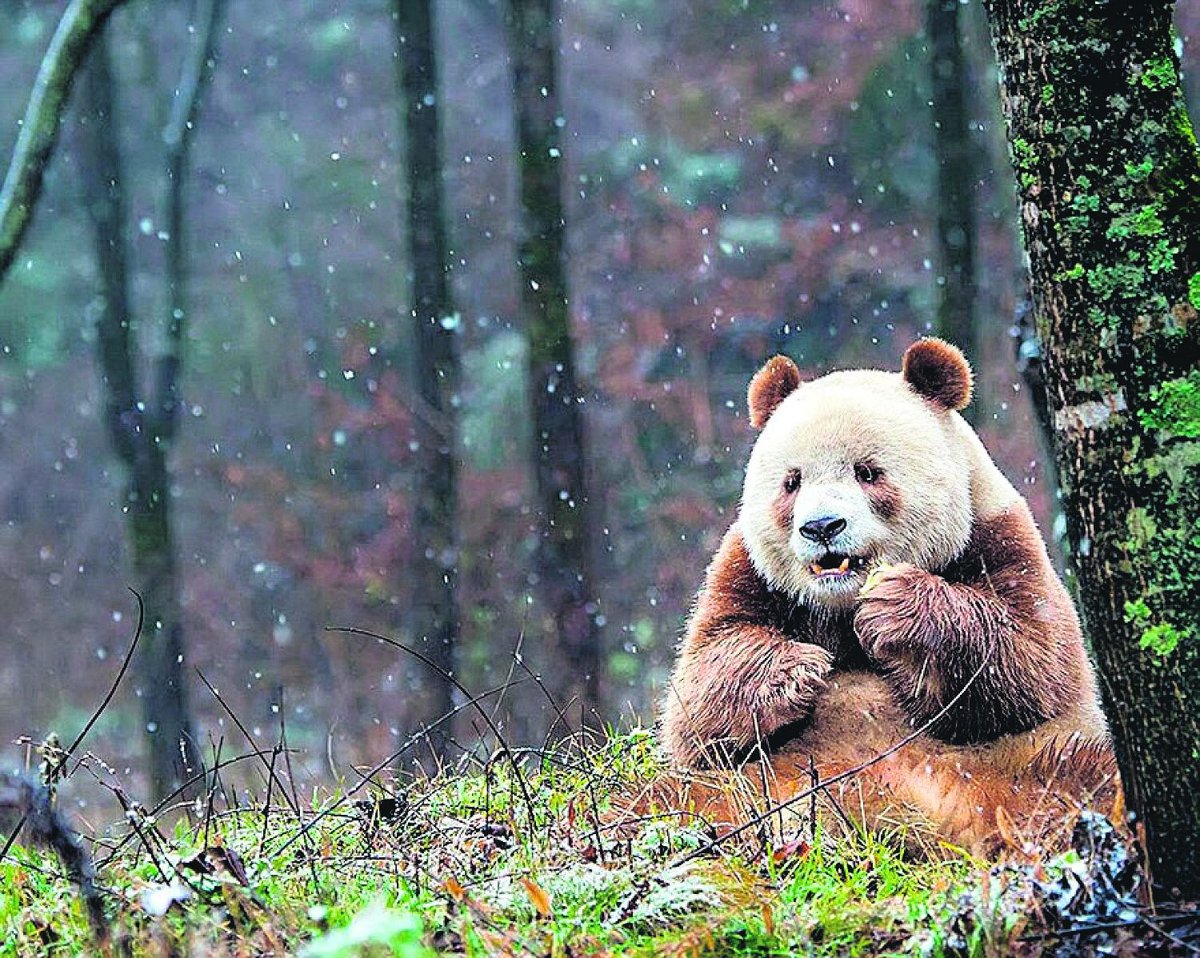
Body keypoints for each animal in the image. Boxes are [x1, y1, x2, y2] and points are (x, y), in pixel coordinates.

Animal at [657, 340, 1113, 849]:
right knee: (661, 798)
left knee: (1083, 776)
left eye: (867, 472)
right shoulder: (748, 571)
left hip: (1022, 764)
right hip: (744, 785)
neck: (840, 604)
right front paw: (797, 670)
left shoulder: (998, 538)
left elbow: (1031, 662)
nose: (822, 527)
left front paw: (897, 610)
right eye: (792, 482)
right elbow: (700, 693)